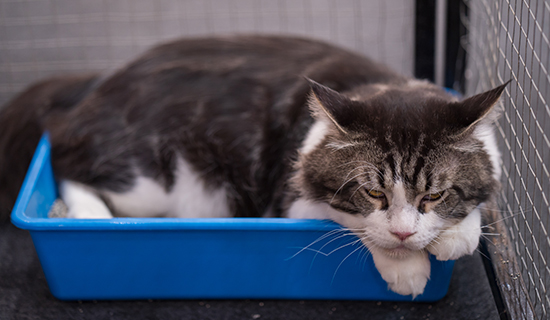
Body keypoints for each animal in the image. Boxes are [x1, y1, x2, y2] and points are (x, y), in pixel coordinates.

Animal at [0, 35, 508, 298]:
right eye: (374, 193)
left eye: (434, 195)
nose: (405, 233)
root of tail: (97, 83)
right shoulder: (290, 200)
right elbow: (354, 224)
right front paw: (407, 267)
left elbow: (478, 204)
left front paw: (456, 236)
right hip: (150, 179)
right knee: (64, 159)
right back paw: (84, 215)